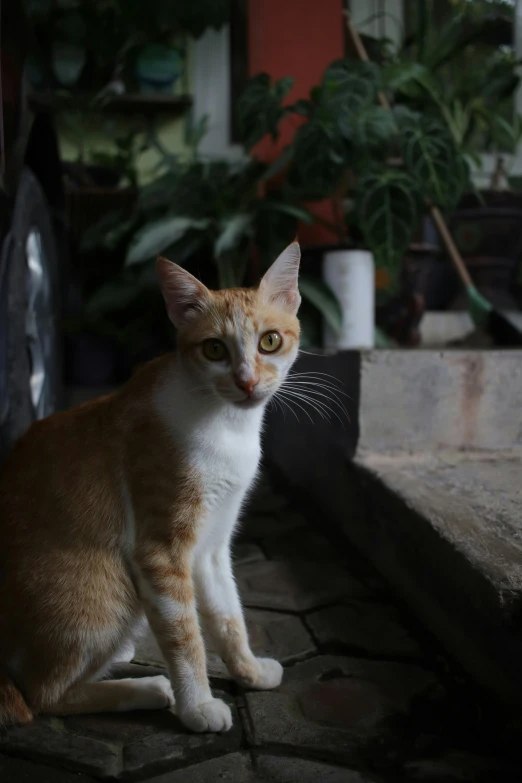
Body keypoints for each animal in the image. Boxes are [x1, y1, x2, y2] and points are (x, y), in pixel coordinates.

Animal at [0, 242, 300, 732]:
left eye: (270, 341)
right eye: (214, 349)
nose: (247, 381)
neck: (224, 424)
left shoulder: (212, 546)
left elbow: (228, 616)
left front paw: (250, 671)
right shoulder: (160, 552)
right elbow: (185, 636)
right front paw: (197, 707)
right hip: (104, 589)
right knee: (41, 697)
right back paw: (145, 689)